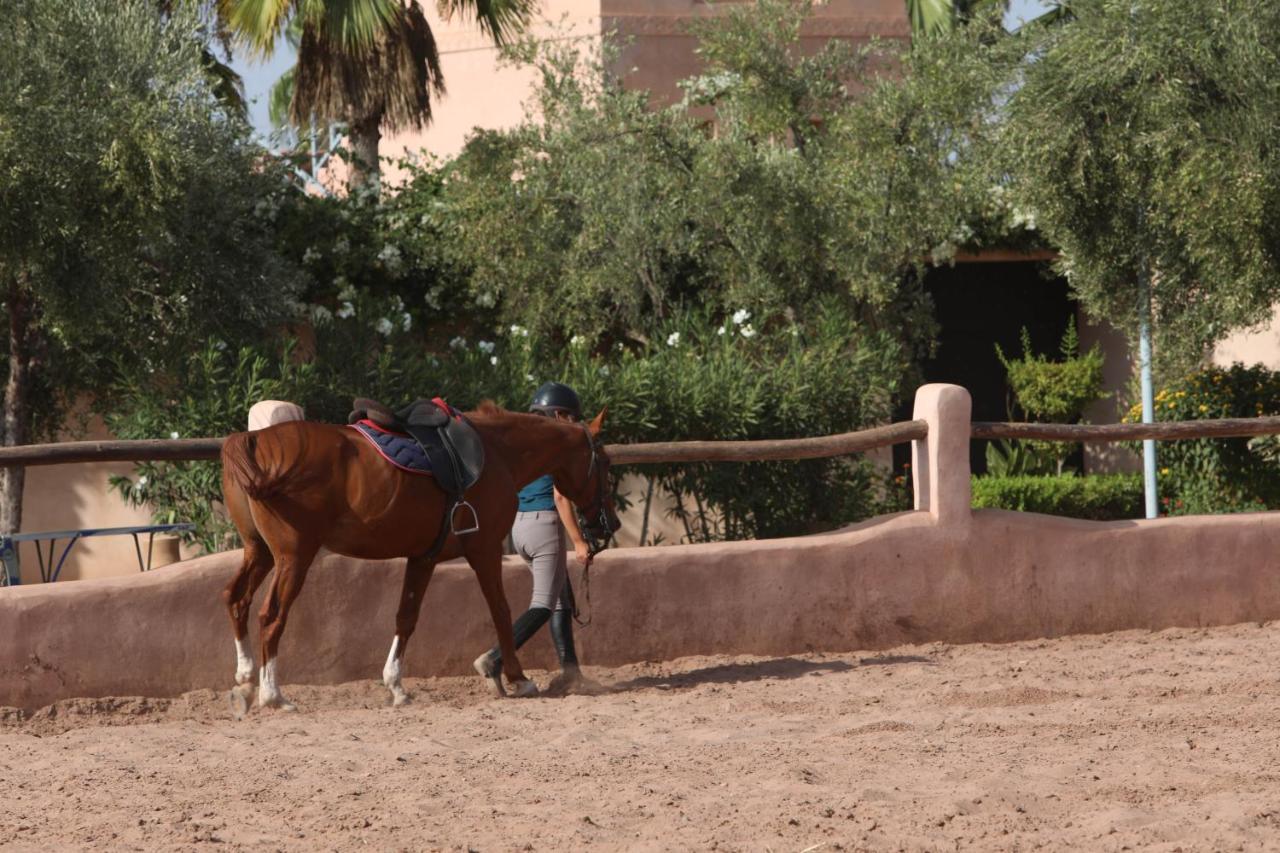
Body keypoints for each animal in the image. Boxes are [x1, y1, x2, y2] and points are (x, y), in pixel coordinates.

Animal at [220, 402, 619, 706]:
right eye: (605, 463)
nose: (610, 523)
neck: (496, 453)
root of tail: (256, 439)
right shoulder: (485, 548)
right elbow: (501, 611)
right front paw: (516, 677)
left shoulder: (423, 557)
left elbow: (406, 617)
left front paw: (396, 685)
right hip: (293, 557)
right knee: (271, 615)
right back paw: (273, 694)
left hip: (260, 552)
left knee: (236, 598)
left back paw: (246, 676)